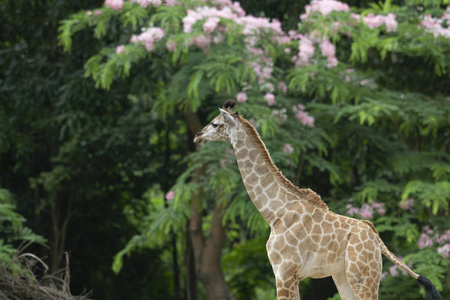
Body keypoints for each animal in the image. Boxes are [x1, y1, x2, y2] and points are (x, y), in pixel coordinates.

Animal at [192, 100, 442, 300]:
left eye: (214, 124)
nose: (197, 136)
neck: (274, 213)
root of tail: (377, 238)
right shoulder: (291, 275)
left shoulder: (284, 271)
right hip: (343, 277)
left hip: (363, 276)